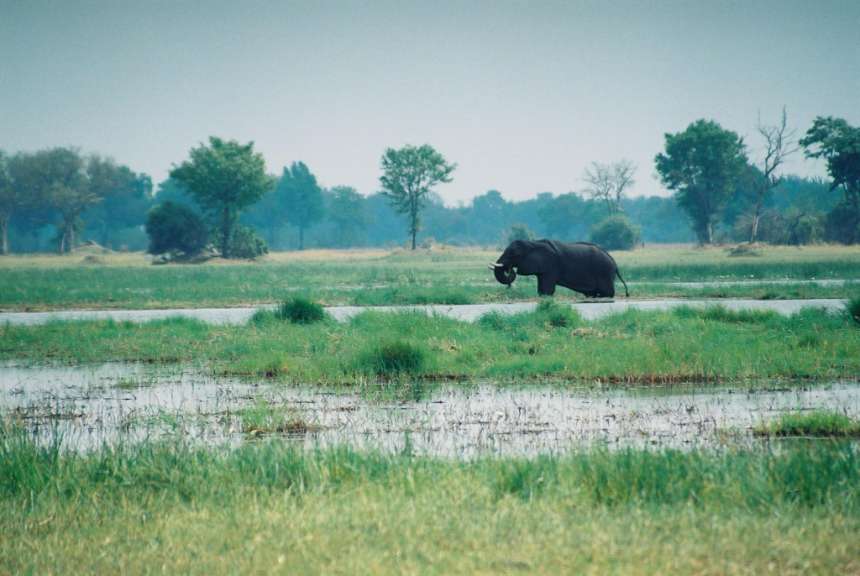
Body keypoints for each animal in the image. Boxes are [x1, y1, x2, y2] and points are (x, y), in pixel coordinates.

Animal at [489, 239, 629, 298]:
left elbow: (547, 288)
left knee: (607, 292)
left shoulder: (551, 265)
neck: (532, 243)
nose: (509, 268)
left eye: (514, 254)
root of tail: (614, 262)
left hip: (604, 272)